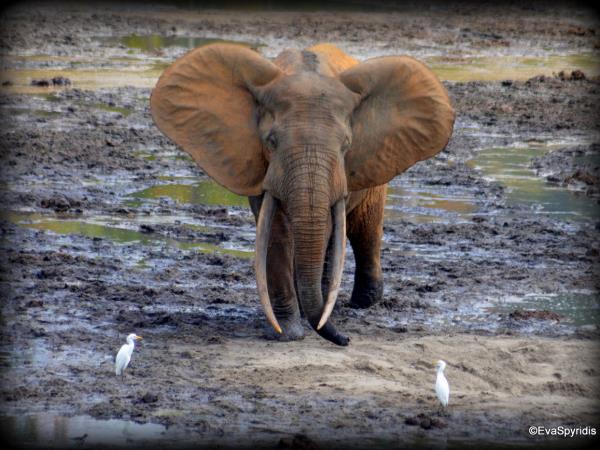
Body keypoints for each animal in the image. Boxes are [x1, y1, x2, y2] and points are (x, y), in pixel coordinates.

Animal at [151, 43, 454, 344]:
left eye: (346, 145)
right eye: (271, 142)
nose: (346, 340)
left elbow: (328, 228)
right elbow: (276, 231)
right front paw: (288, 331)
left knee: (364, 228)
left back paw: (360, 303)